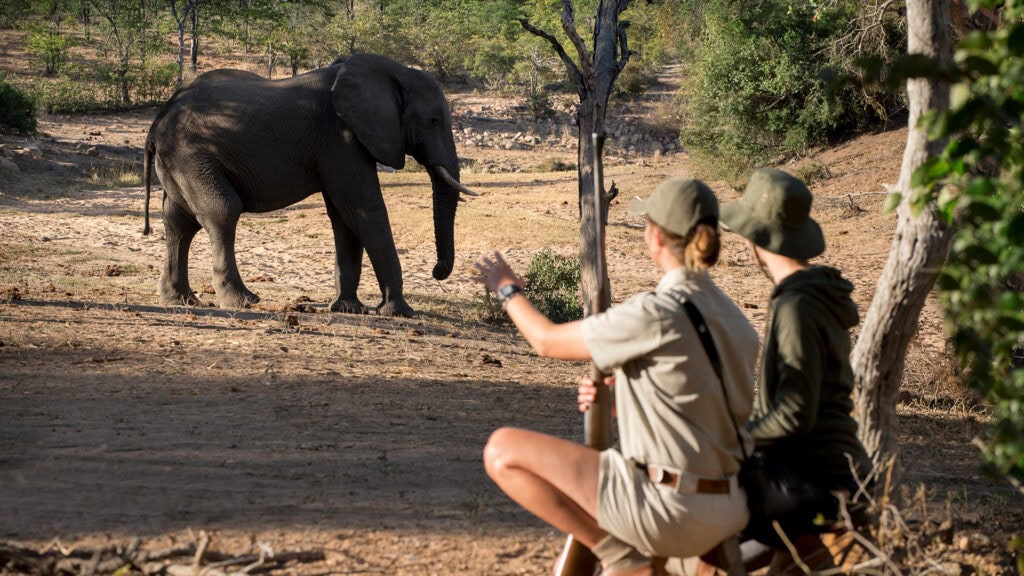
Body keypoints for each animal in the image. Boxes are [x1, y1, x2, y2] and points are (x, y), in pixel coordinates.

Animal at [143, 51, 475, 315]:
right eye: (433, 121)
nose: (437, 271)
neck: (391, 72)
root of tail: (159, 118)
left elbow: (344, 217)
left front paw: (348, 309)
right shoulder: (340, 138)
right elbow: (364, 210)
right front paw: (398, 312)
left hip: (178, 161)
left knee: (179, 222)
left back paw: (180, 301)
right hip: (191, 153)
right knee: (222, 210)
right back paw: (243, 301)